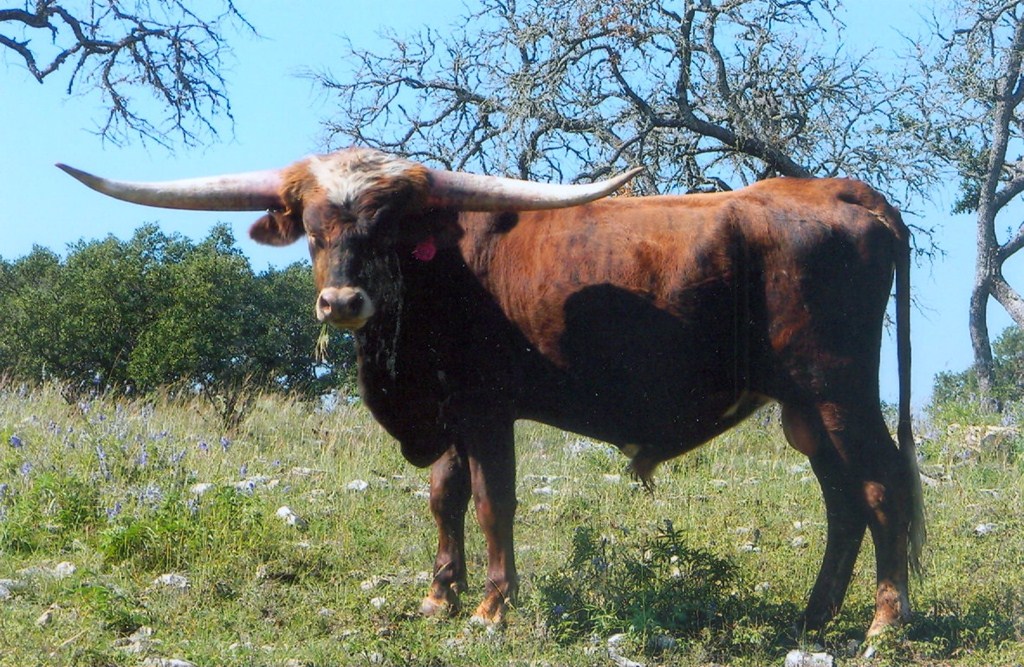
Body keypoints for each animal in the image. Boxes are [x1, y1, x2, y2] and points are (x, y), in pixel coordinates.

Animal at [58, 147, 924, 641]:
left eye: (386, 225)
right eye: (311, 225)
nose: (341, 303)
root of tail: (846, 193)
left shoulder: (485, 409)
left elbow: (490, 501)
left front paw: (491, 606)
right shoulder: (445, 415)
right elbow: (443, 497)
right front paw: (440, 595)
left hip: (840, 391)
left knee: (881, 485)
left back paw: (885, 622)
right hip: (804, 407)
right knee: (843, 499)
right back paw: (814, 616)